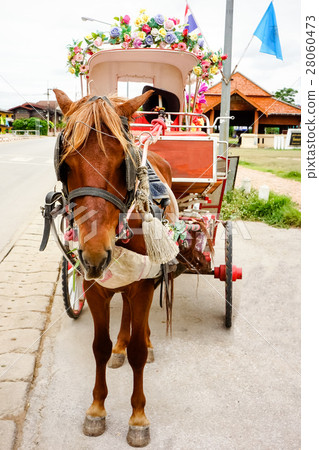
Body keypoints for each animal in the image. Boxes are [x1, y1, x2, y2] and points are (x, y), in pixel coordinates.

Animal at [53, 88, 176, 446]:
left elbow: (137, 353)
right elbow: (100, 347)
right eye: (66, 165)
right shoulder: (94, 287)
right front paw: (96, 409)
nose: (95, 255)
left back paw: (146, 342)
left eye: (124, 163)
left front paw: (137, 417)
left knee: (139, 320)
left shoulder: (143, 284)